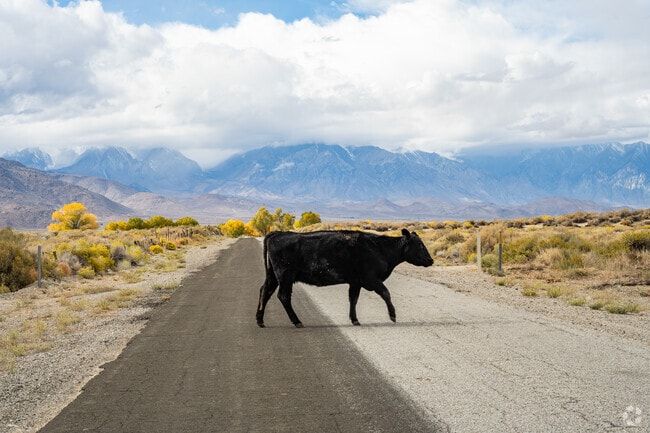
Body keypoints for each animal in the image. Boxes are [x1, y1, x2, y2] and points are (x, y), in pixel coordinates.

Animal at [256, 229, 434, 328]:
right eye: (419, 244)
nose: (431, 260)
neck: (380, 248)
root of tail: (277, 233)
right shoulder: (371, 279)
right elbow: (386, 293)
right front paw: (393, 315)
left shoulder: (356, 282)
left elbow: (353, 299)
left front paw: (354, 319)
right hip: (285, 276)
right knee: (283, 296)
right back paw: (297, 321)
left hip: (273, 276)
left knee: (265, 292)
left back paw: (260, 321)